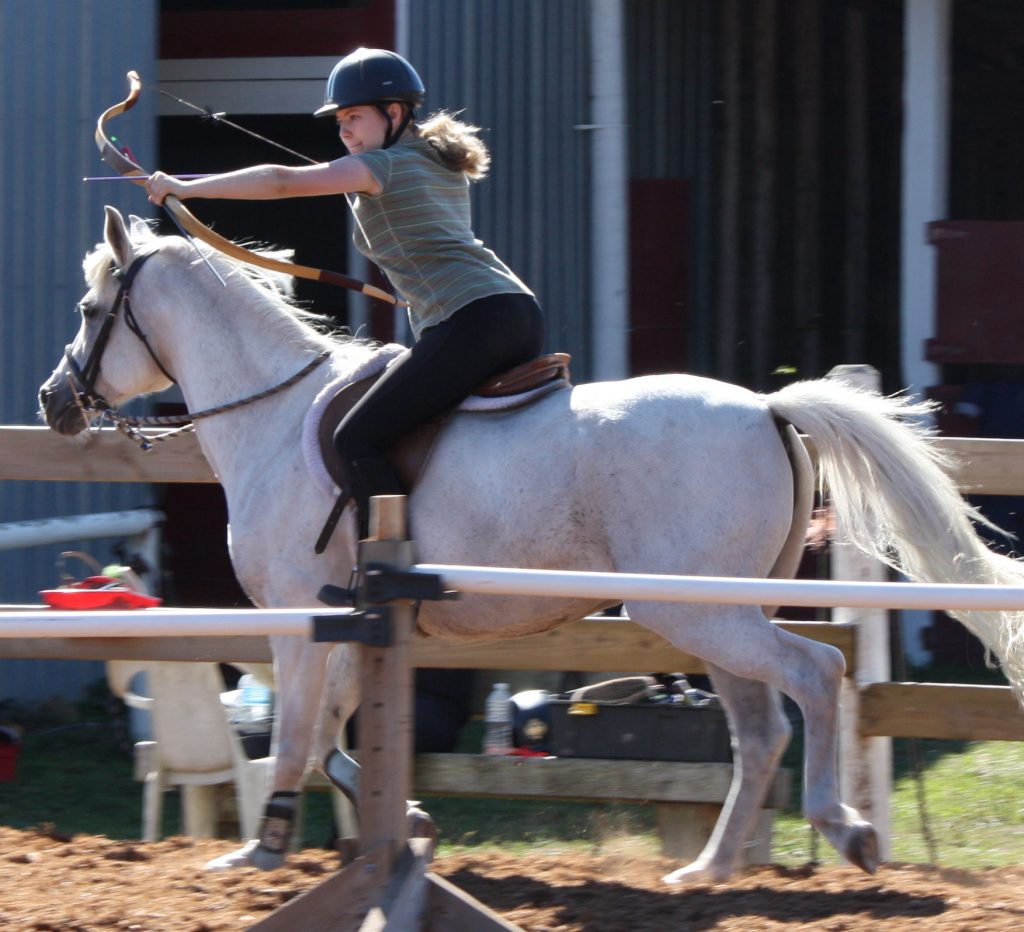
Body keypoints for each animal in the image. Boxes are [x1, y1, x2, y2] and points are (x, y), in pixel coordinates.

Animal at [41, 209, 1024, 884]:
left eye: (90, 308)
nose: (55, 403)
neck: (275, 417)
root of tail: (768, 408)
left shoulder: (298, 622)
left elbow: (292, 741)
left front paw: (262, 850)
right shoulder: (348, 629)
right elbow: (325, 741)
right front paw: (409, 821)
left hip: (697, 612)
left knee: (816, 677)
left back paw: (843, 830)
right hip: (719, 617)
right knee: (759, 730)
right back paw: (707, 870)